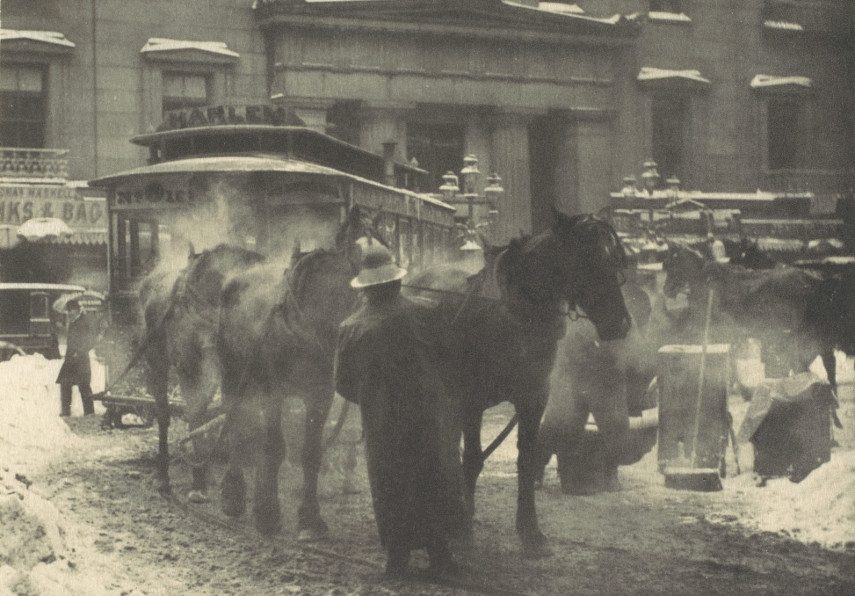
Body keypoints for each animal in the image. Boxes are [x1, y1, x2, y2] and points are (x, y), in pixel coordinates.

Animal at [139, 244, 266, 496]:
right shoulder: (189, 368)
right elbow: (196, 415)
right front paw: (198, 483)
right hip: (156, 361)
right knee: (163, 413)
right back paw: (163, 474)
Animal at [216, 208, 366, 540]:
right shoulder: (273, 393)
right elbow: (274, 448)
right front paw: (268, 515)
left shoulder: (319, 396)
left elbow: (310, 453)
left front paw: (310, 519)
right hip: (233, 372)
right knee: (235, 421)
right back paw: (233, 494)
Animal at [404, 210, 632, 556]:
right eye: (587, 259)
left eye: (614, 259)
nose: (621, 324)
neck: (514, 315)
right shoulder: (472, 401)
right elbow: (472, 459)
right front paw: (463, 529)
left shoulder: (533, 399)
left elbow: (526, 460)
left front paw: (530, 533)